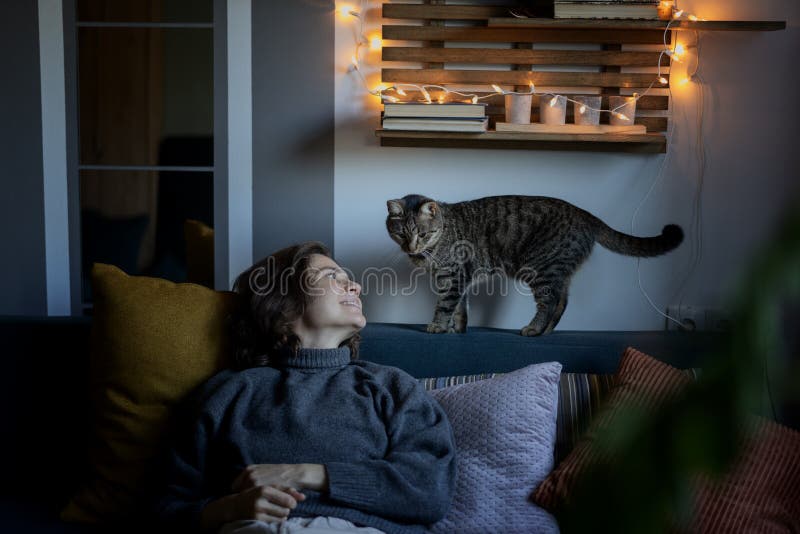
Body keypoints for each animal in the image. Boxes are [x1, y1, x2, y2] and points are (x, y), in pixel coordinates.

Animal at [386, 195, 680, 338]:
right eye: (401, 234)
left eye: (422, 234)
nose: (410, 248)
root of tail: (585, 214)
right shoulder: (460, 278)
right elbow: (460, 308)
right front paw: (456, 328)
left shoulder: (453, 276)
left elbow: (446, 305)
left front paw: (438, 326)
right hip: (558, 271)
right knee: (562, 301)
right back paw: (547, 331)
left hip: (542, 269)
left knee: (549, 303)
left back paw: (534, 329)